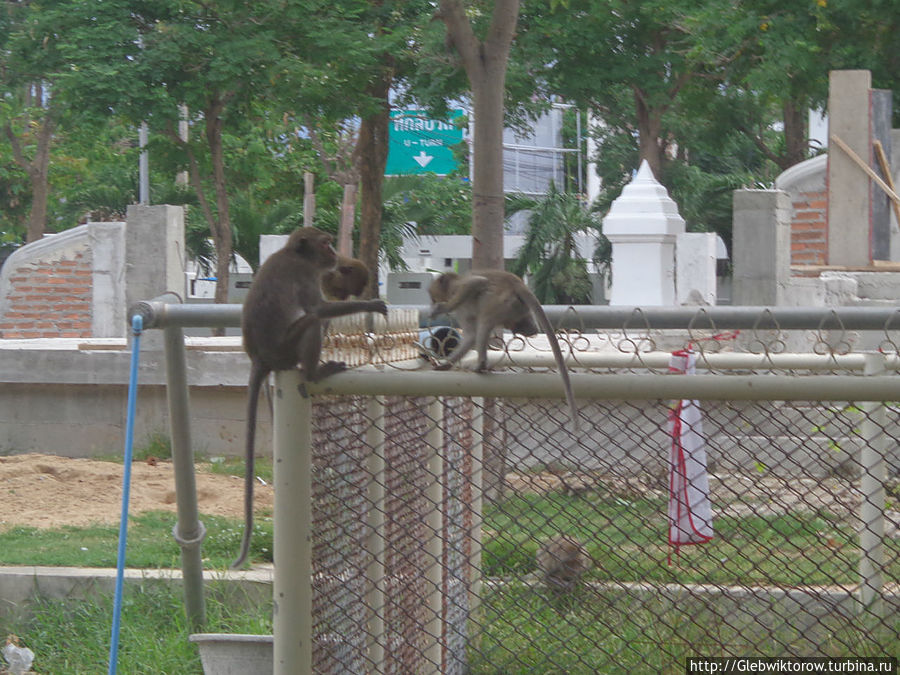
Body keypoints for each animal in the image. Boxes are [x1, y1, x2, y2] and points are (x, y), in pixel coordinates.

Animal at [232, 228, 386, 572]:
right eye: (326, 243)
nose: (335, 255)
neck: (295, 255)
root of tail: (260, 358)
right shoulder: (305, 276)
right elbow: (318, 310)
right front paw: (370, 303)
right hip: (286, 349)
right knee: (313, 322)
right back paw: (315, 371)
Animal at [430, 272, 584, 430]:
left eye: (433, 295)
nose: (432, 301)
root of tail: (517, 283)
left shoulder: (458, 290)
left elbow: (476, 282)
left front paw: (444, 307)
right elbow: (471, 336)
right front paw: (445, 365)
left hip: (503, 302)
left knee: (485, 320)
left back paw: (481, 365)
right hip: (517, 307)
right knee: (526, 326)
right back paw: (527, 331)